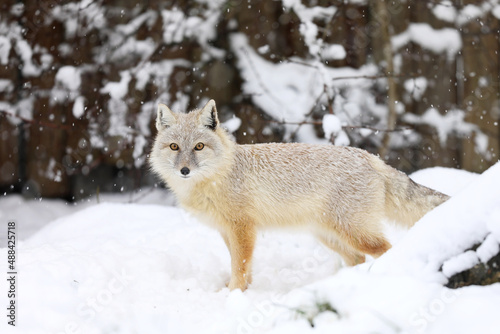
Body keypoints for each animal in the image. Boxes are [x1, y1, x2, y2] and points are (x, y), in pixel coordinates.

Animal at [149, 98, 450, 290]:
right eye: (174, 147)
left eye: (199, 146)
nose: (185, 170)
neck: (218, 177)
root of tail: (370, 156)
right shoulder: (227, 231)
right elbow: (241, 266)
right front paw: (237, 290)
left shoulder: (242, 229)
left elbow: (241, 266)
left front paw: (234, 295)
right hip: (330, 235)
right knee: (357, 259)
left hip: (355, 232)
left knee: (386, 250)